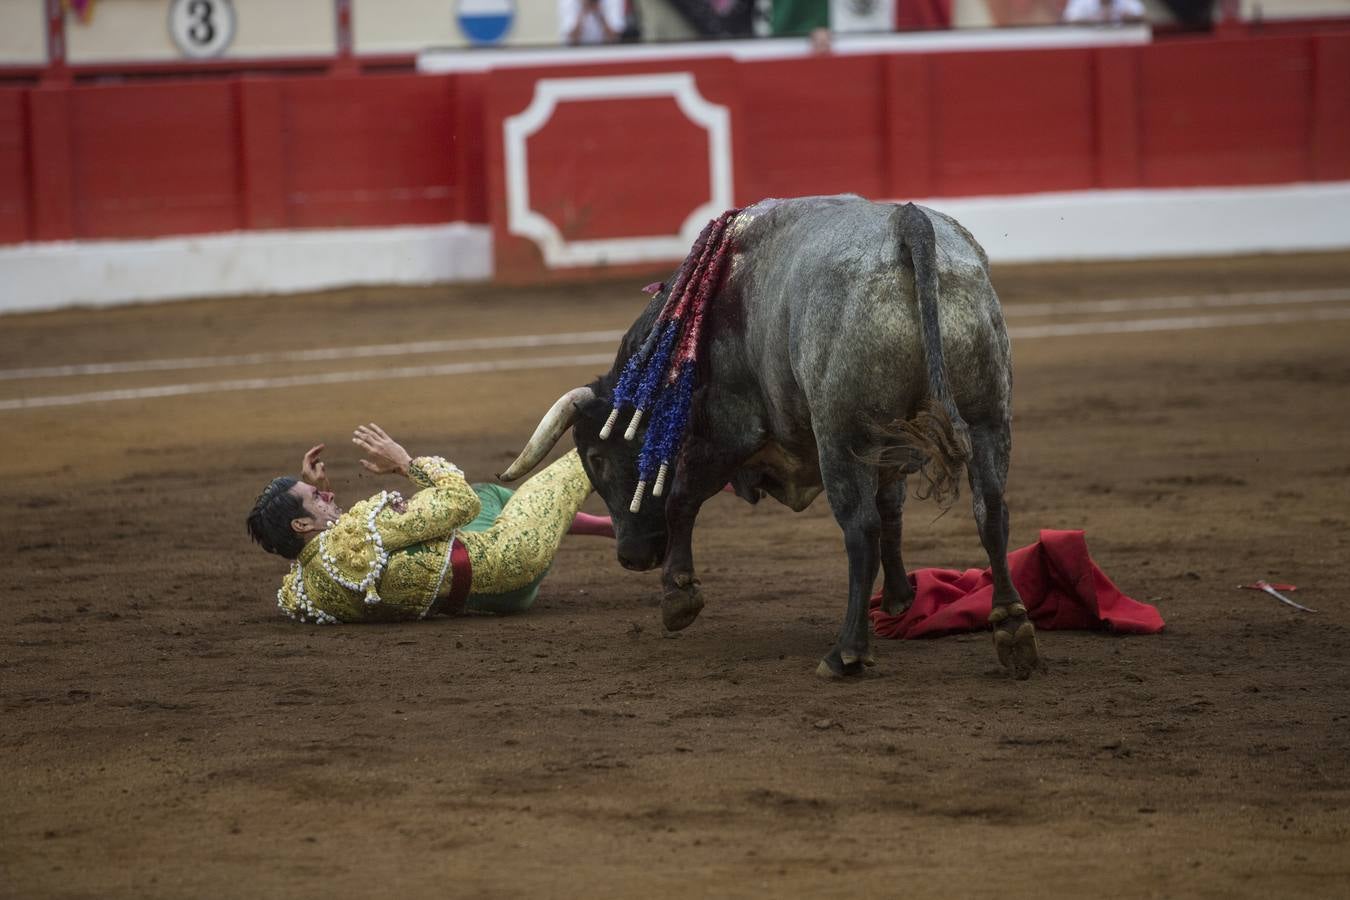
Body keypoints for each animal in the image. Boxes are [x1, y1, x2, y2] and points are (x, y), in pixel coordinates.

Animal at [502, 195, 1036, 674]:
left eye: (596, 456)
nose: (632, 557)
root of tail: (909, 224)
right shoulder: (892, 447)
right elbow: (893, 510)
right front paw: (901, 599)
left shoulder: (731, 430)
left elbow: (680, 499)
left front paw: (678, 596)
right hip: (988, 417)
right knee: (990, 510)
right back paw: (1011, 627)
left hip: (842, 435)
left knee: (859, 528)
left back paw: (846, 652)